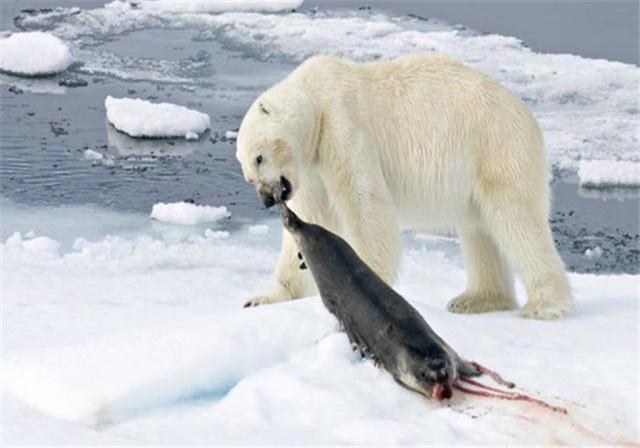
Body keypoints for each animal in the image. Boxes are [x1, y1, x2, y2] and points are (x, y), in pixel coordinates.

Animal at [236, 53, 576, 318]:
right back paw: (476, 299)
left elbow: (365, 202)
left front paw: (366, 285)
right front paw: (262, 299)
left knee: (515, 219)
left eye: (259, 157)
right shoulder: (310, 167)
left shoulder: (343, 126)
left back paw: (544, 303)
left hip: (496, 147)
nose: (268, 198)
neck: (316, 98)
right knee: (479, 229)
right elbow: (311, 218)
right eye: (249, 176)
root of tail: (527, 115)